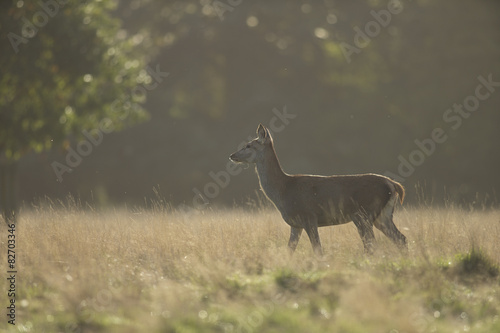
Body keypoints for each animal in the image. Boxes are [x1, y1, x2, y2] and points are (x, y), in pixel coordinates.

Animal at [229, 123, 406, 255]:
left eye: (248, 145)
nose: (232, 155)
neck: (283, 190)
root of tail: (393, 184)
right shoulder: (295, 224)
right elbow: (289, 250)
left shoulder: (309, 216)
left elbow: (318, 250)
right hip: (383, 215)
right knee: (401, 239)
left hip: (363, 214)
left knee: (372, 246)